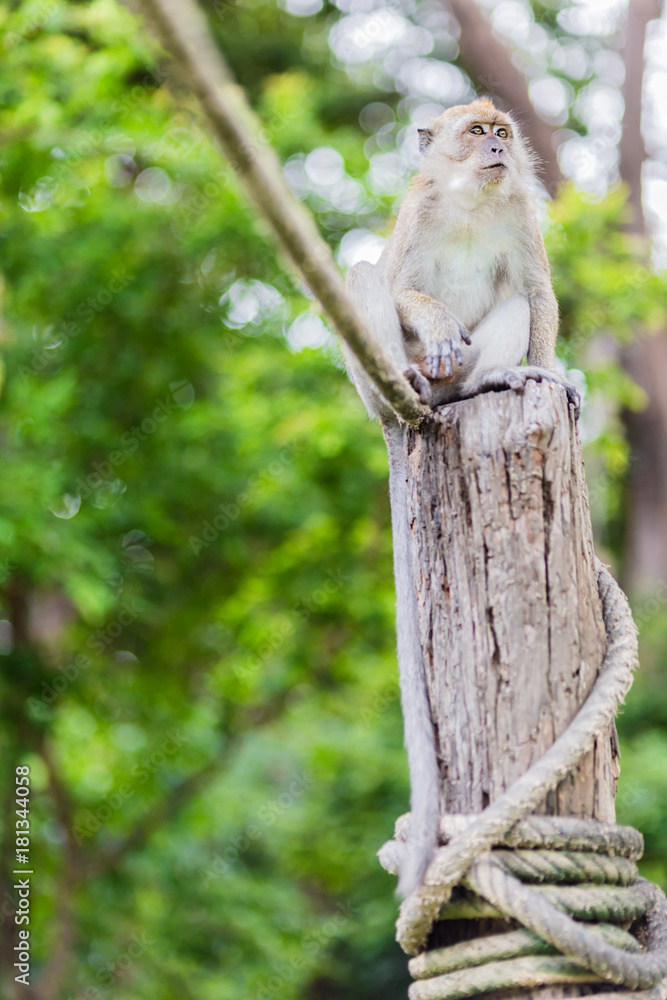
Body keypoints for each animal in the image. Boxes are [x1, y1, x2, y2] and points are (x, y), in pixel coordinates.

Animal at [344, 99, 580, 900]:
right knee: (362, 276)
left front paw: (553, 374)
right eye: (476, 133)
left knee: (509, 306)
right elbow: (398, 285)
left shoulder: (521, 214)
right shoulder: (419, 210)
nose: (499, 147)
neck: (474, 200)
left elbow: (535, 295)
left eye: (500, 132)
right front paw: (438, 321)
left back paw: (486, 384)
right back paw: (419, 384)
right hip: (384, 379)